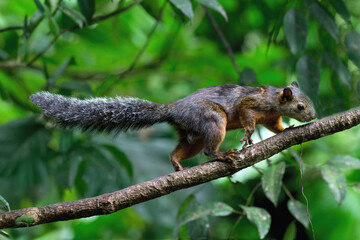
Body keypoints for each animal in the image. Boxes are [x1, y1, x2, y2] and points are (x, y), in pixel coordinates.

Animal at [31, 81, 316, 172]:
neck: (276, 100)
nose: (313, 115)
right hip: (213, 120)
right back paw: (223, 155)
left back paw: (177, 164)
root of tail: (172, 109)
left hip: (194, 135)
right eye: (301, 106)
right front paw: (247, 134)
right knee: (208, 150)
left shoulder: (271, 118)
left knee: (182, 149)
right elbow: (246, 114)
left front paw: (287, 131)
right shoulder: (252, 103)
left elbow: (276, 127)